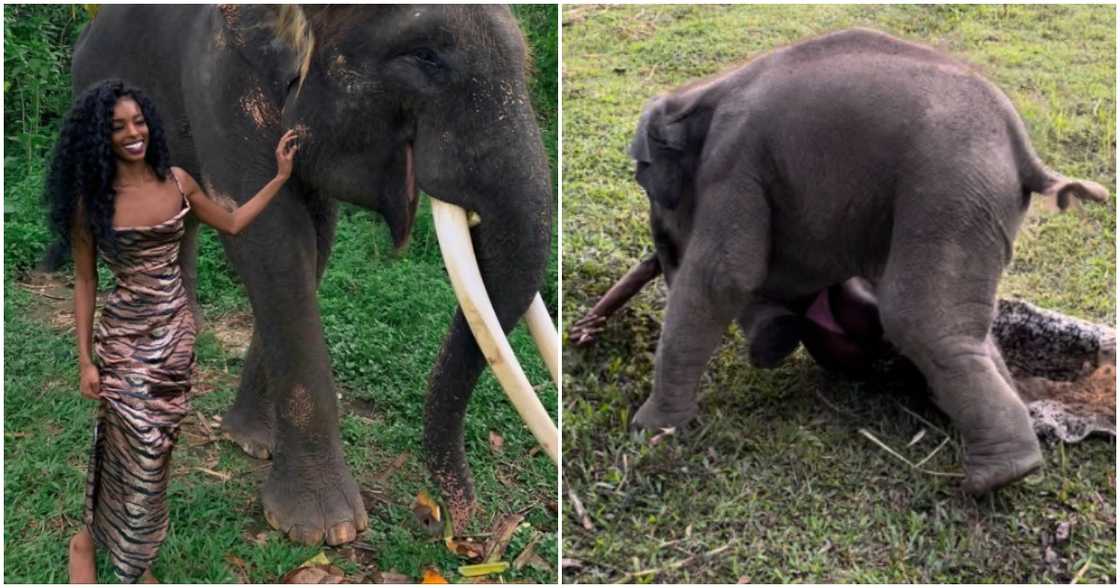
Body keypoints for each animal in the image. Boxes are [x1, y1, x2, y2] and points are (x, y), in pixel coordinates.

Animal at [70, 5, 554, 545]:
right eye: (425, 57)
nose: (446, 524)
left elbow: (316, 240)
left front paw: (252, 441)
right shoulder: (220, 77)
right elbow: (271, 240)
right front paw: (324, 530)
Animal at [627, 28, 1108, 495]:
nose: (657, 255)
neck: (703, 90)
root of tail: (1022, 148)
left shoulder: (734, 162)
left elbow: (725, 275)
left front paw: (651, 430)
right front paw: (774, 338)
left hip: (951, 189)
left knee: (919, 318)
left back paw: (998, 476)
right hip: (974, 204)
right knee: (963, 325)